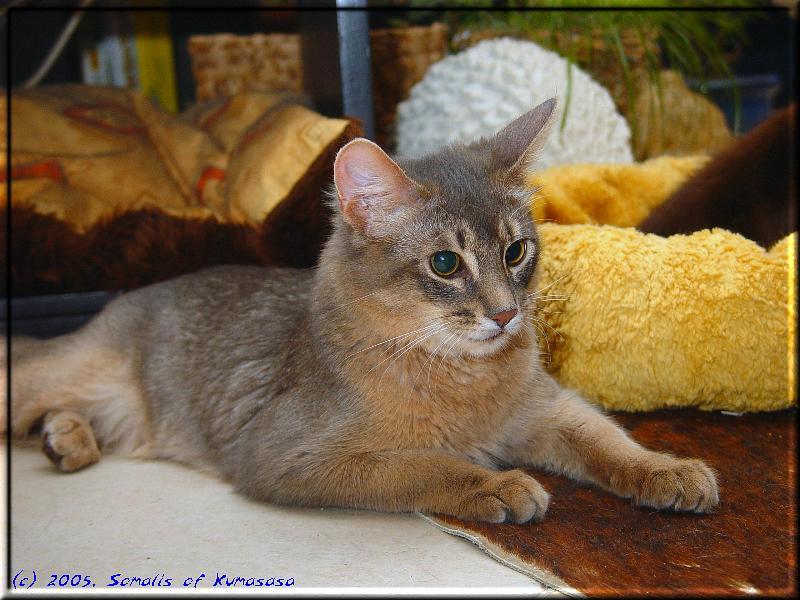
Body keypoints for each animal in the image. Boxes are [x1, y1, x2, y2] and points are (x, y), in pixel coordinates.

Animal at [6, 97, 720, 520]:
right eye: (445, 264)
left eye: (516, 251)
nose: (504, 315)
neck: (461, 377)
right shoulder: (283, 456)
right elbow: (422, 464)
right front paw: (495, 484)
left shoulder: (548, 407)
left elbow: (608, 439)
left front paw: (670, 472)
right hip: (58, 372)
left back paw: (66, 440)